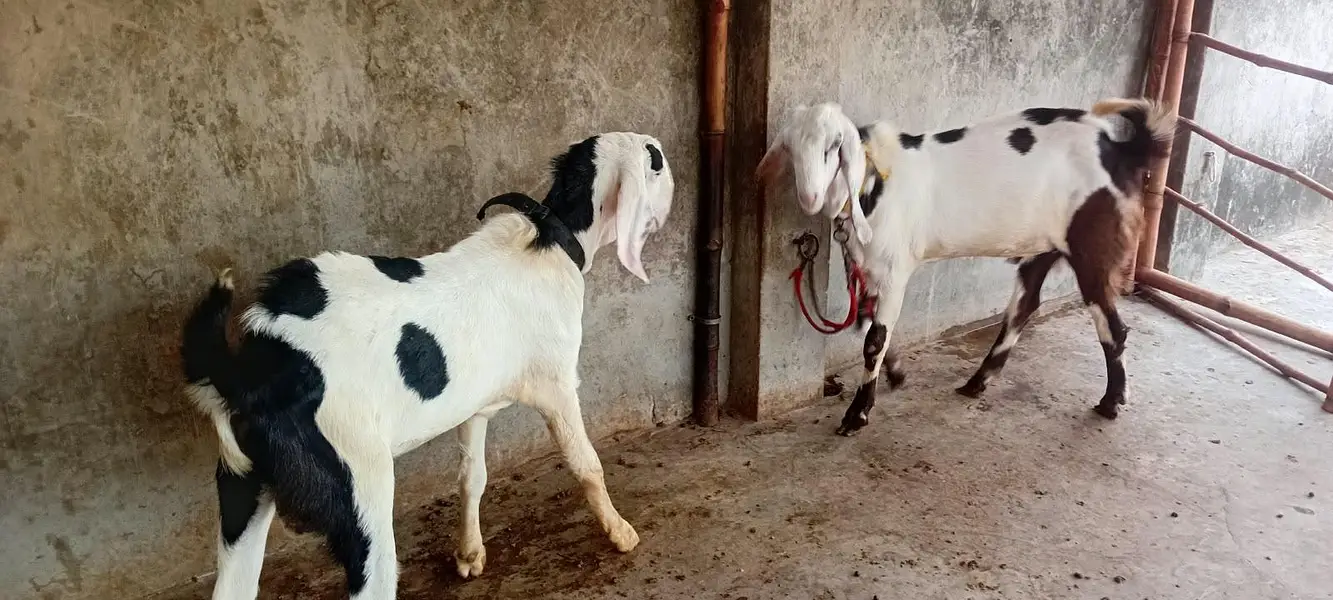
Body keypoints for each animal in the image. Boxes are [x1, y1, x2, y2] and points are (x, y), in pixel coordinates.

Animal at [181, 132, 674, 599]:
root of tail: (251, 369)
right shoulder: (556, 384)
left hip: (242, 484)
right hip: (360, 486)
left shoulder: (474, 404)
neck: (552, 238)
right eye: (654, 159)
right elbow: (585, 463)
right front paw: (621, 533)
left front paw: (470, 554)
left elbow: (472, 475)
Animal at [757, 98, 1174, 436]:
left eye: (833, 147)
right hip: (1043, 246)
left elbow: (873, 339)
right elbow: (868, 321)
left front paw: (857, 414)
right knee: (1024, 306)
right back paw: (978, 381)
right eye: (790, 148)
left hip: (1092, 247)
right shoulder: (869, 268)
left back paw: (1110, 401)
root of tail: (1123, 150)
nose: (809, 197)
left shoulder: (894, 270)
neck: (876, 184)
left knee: (1112, 327)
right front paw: (897, 372)